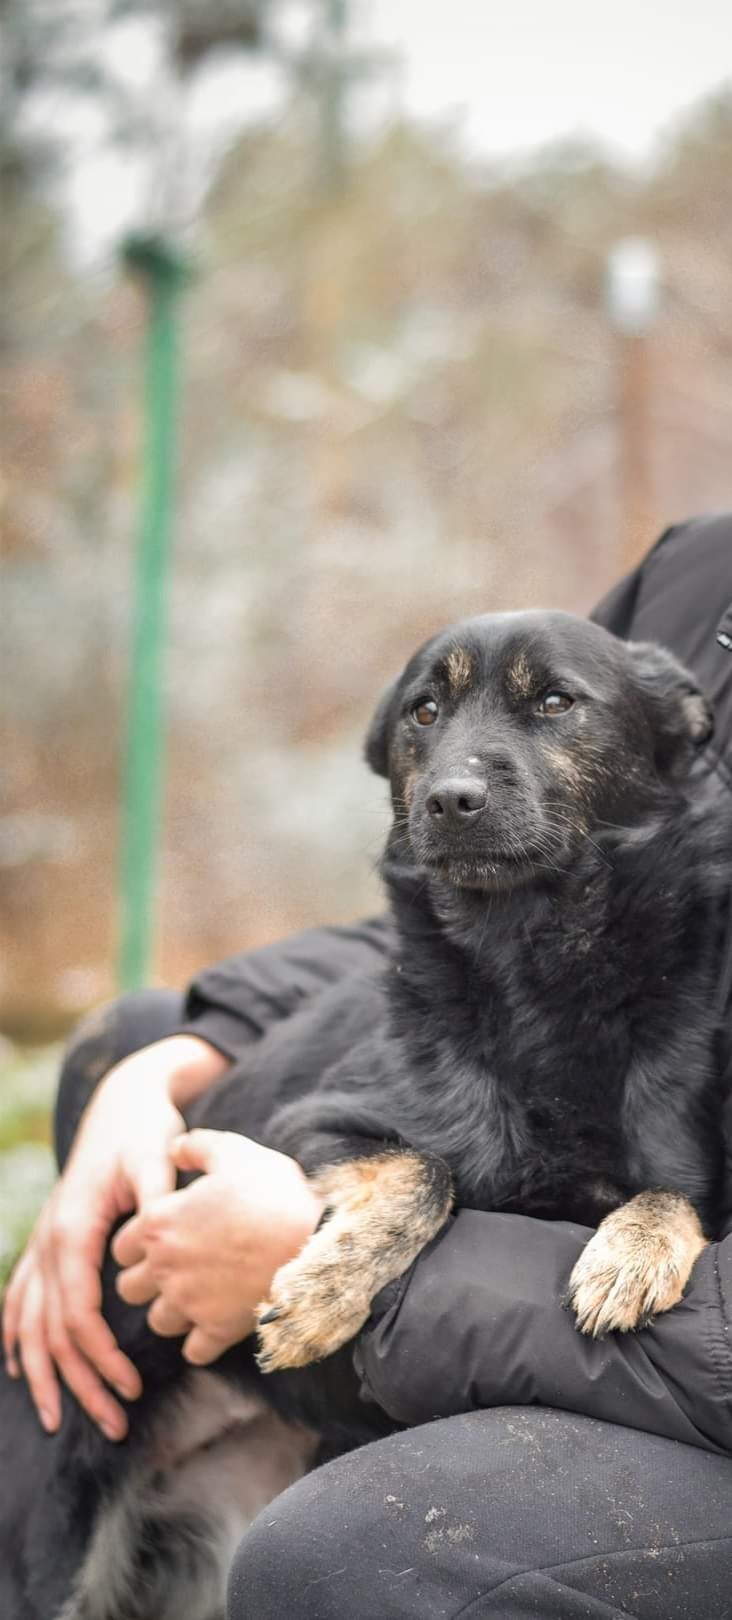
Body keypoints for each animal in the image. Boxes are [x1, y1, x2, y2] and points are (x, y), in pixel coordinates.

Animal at [1, 609, 732, 1620]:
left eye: (556, 701)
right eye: (424, 712)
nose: (453, 799)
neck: (533, 964)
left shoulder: (687, 1161)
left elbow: (670, 1198)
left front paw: (631, 1252)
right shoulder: (306, 1126)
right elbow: (425, 1171)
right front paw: (319, 1298)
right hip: (56, 1543)